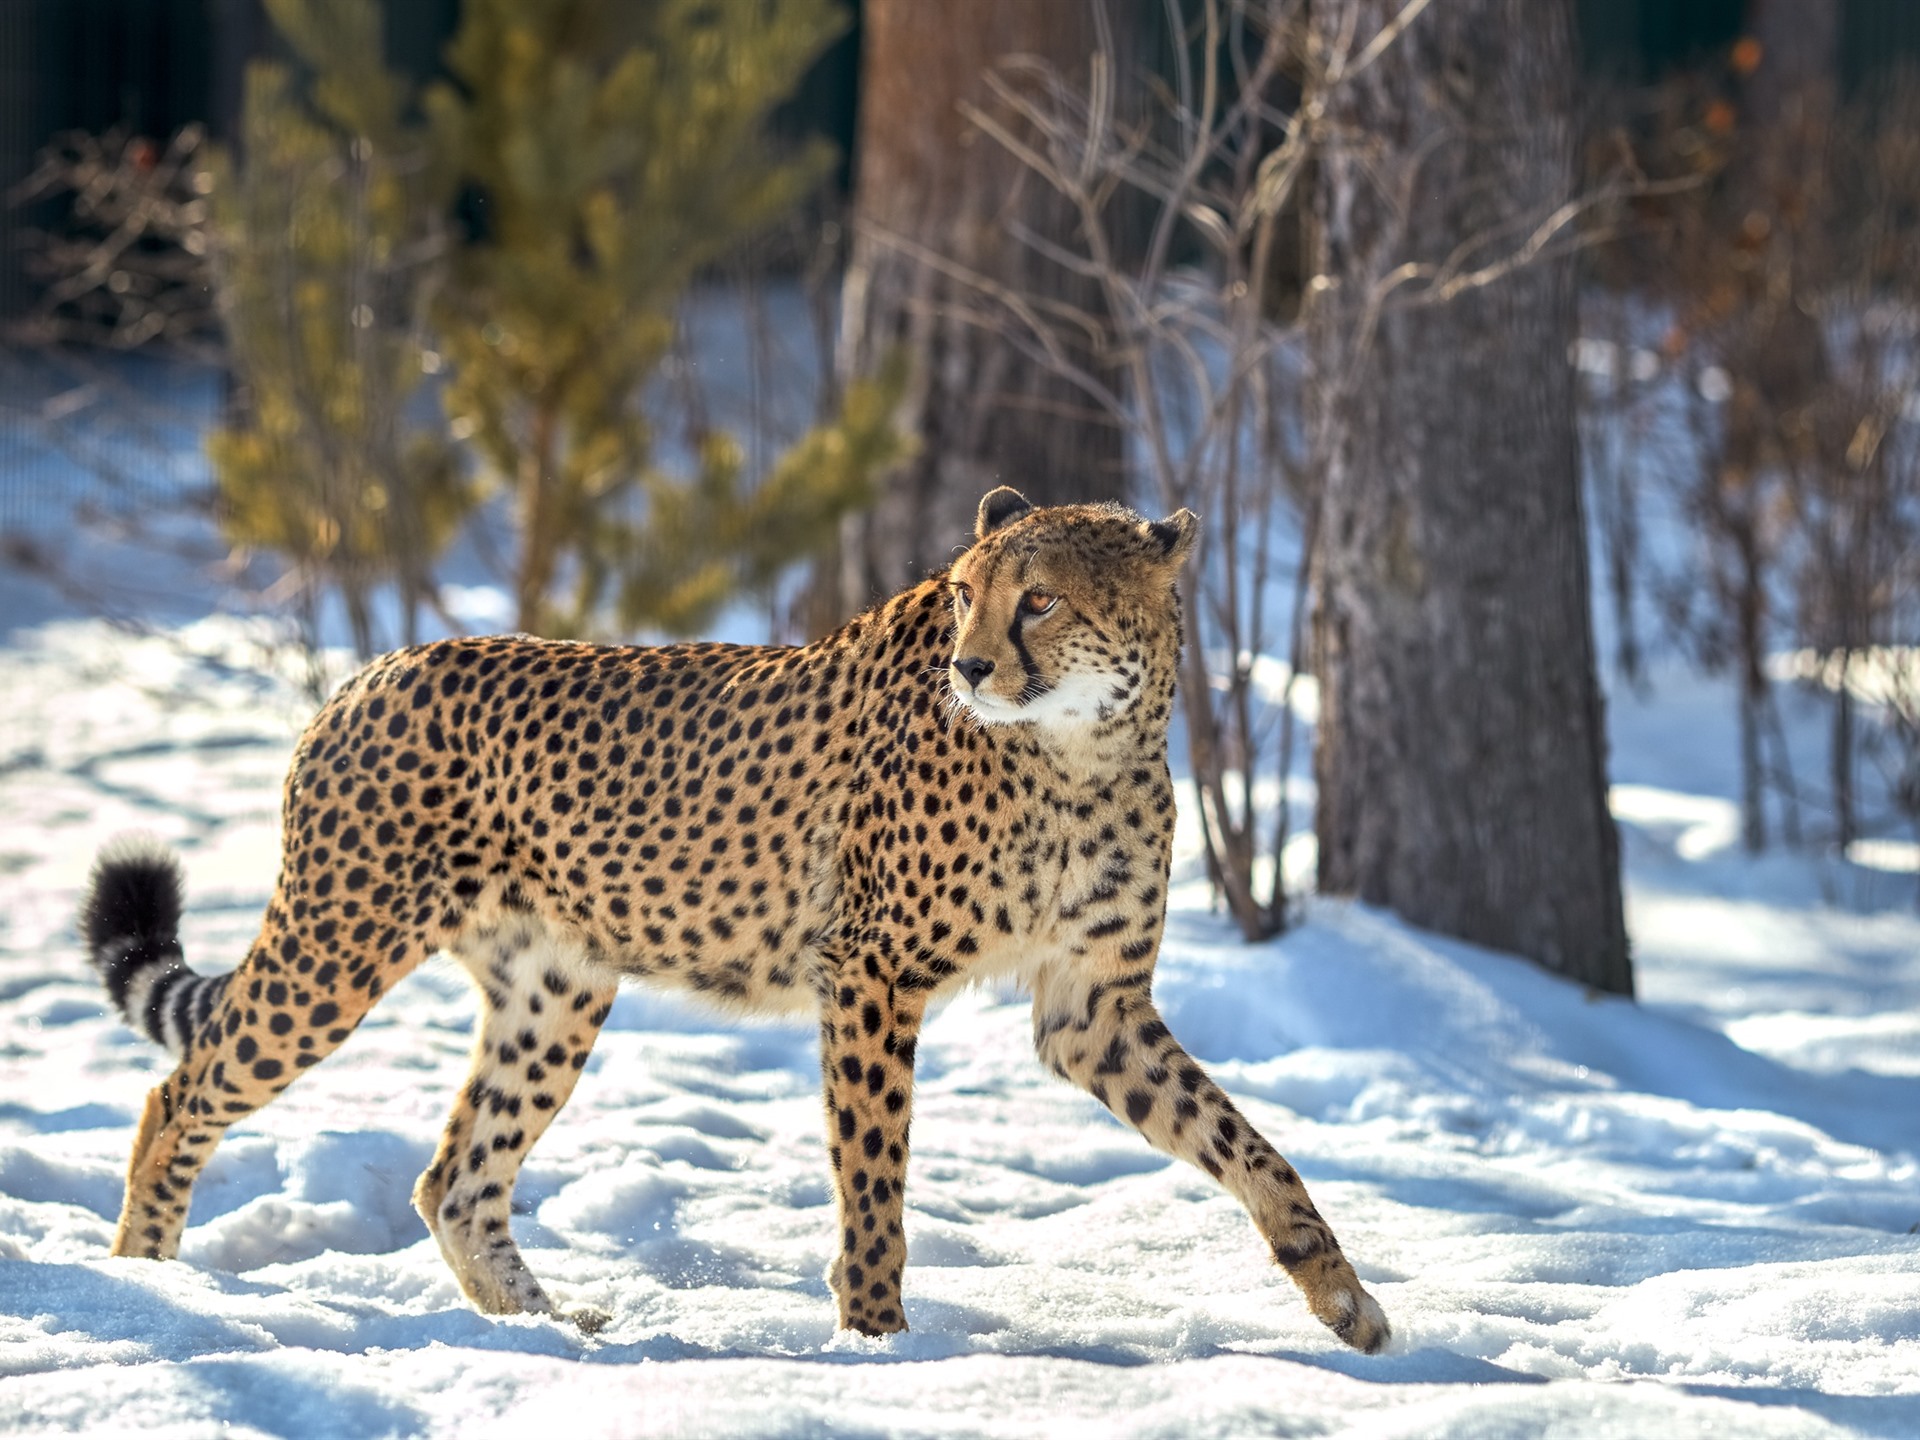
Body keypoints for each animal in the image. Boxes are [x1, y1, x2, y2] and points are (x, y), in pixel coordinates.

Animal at [82, 491, 1390, 1359]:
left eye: (1042, 599)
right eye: (966, 594)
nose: (970, 668)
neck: (1079, 751)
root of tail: (370, 672)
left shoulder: (1092, 1009)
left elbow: (1244, 1142)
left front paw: (1341, 1295)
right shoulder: (871, 974)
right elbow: (875, 1181)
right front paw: (880, 1343)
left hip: (558, 990)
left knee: (456, 1176)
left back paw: (554, 1334)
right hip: (339, 950)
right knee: (179, 1092)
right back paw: (150, 1289)